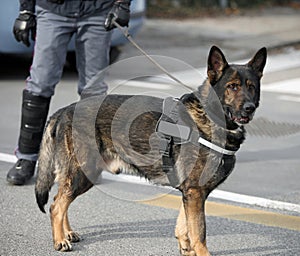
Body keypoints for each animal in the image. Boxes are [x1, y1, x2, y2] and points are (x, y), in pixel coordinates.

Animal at [35, 45, 268, 254]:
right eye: (233, 86)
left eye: (251, 87)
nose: (249, 108)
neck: (209, 117)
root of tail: (64, 110)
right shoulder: (195, 192)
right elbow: (199, 233)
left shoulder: (190, 193)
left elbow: (184, 226)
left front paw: (186, 248)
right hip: (83, 173)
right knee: (56, 205)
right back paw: (60, 240)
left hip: (81, 174)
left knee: (60, 198)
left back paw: (67, 233)